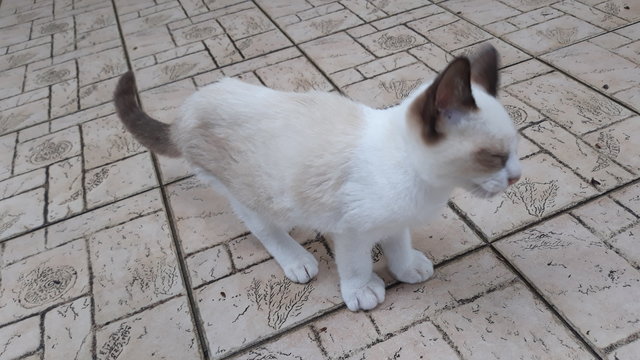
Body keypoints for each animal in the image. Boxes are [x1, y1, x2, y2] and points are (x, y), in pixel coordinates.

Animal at [115, 44, 524, 310]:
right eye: (493, 157)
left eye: (516, 150)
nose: (516, 177)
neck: (425, 183)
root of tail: (186, 111)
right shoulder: (352, 230)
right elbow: (357, 264)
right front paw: (362, 291)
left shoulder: (395, 220)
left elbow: (398, 244)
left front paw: (407, 268)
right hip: (247, 191)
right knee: (262, 228)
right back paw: (296, 259)